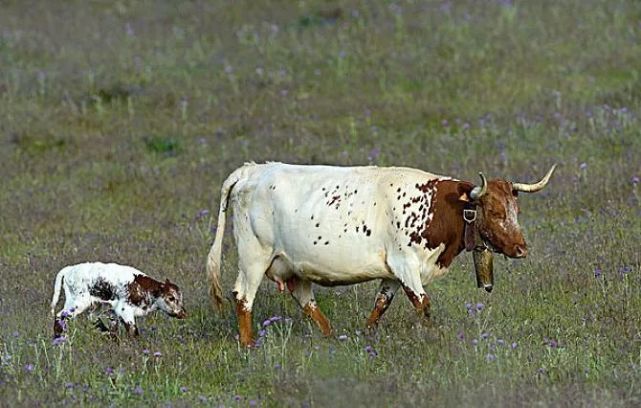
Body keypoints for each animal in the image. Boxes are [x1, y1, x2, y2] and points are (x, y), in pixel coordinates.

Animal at [50, 262, 186, 338]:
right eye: (171, 297)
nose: (183, 313)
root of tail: (70, 269)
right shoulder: (125, 310)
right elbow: (133, 332)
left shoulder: (113, 313)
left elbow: (113, 331)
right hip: (78, 303)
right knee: (60, 316)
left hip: (88, 304)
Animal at [206, 161, 556, 346]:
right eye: (495, 212)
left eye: (515, 210)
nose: (521, 248)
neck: (438, 206)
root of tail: (252, 171)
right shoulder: (406, 265)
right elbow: (424, 305)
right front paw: (435, 338)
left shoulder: (393, 272)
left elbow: (380, 304)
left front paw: (366, 336)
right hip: (254, 257)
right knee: (243, 298)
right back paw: (248, 345)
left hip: (292, 265)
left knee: (306, 300)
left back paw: (332, 339)